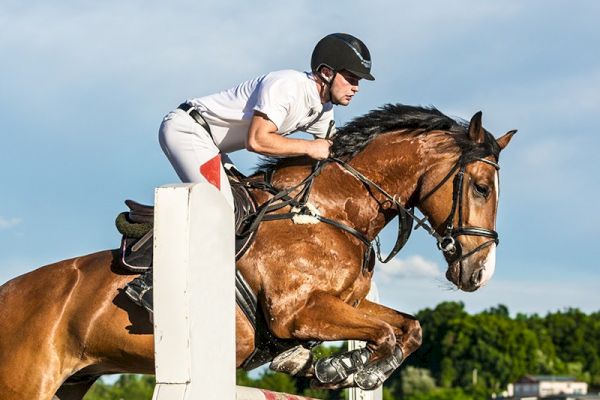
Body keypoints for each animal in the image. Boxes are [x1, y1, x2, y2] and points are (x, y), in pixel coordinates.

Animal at [0, 104, 516, 398]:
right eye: (481, 186)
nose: (479, 274)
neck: (328, 209)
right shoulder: (297, 312)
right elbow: (387, 333)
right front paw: (341, 369)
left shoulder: (343, 304)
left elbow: (408, 328)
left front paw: (335, 366)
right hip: (26, 384)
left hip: (71, 383)